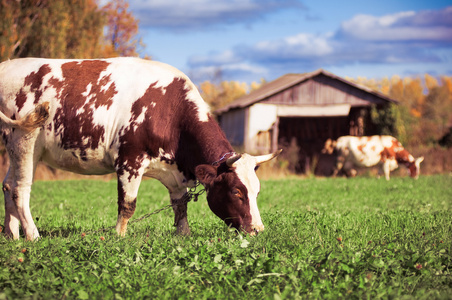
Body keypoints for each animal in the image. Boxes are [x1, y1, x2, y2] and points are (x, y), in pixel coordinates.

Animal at [0, 56, 280, 240]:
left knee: (7, 185)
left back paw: (12, 235)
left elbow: (180, 205)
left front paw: (184, 235)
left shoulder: (174, 174)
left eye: (257, 191)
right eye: (236, 191)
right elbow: (128, 205)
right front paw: (119, 237)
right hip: (25, 140)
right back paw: (32, 236)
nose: (257, 230)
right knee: (20, 190)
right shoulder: (129, 161)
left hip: (16, 147)